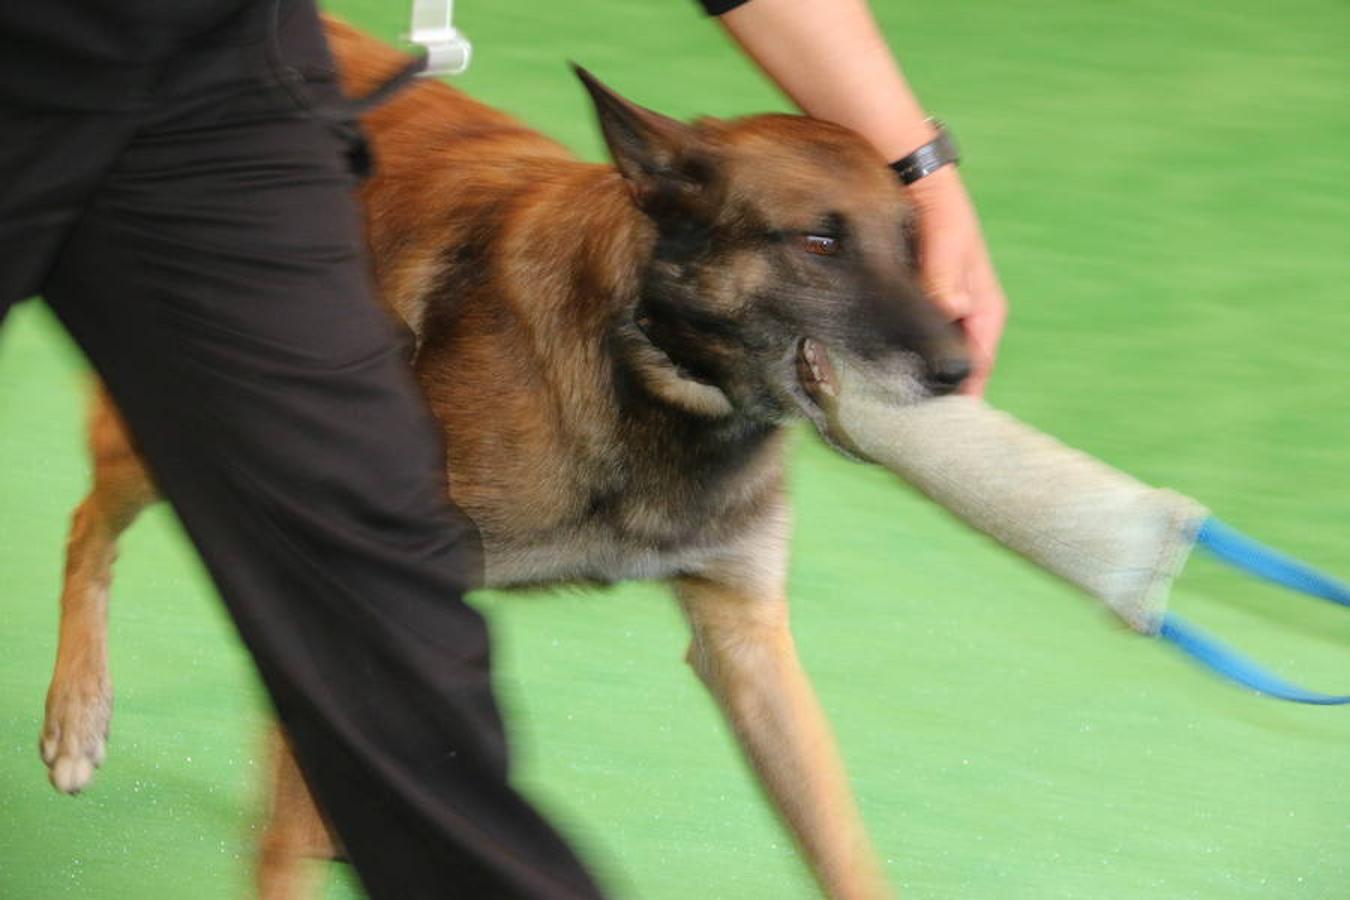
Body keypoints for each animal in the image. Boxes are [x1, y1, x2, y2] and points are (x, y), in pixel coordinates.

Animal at [39, 21, 972, 900]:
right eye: (817, 243)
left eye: (912, 243)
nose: (958, 369)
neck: (642, 361)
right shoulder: (374, 608)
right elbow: (288, 834)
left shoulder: (747, 644)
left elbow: (844, 852)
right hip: (165, 437)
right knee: (85, 526)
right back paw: (77, 715)